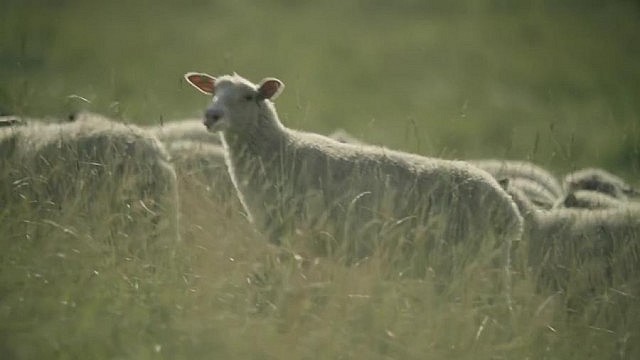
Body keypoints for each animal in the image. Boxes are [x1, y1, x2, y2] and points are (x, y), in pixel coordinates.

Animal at [182, 70, 524, 296]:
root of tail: (509, 209)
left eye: (248, 96)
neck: (281, 150)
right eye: (212, 92)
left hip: (479, 258)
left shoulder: (299, 234)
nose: (211, 116)